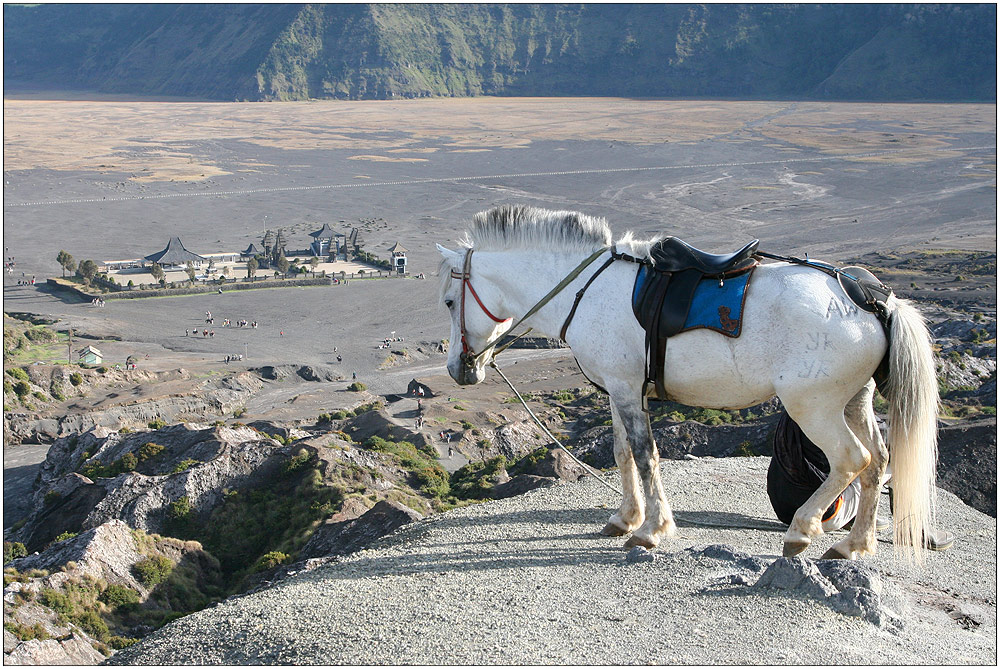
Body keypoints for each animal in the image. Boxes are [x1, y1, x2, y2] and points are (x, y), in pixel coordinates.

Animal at [436, 202, 936, 560]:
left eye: (448, 302)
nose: (459, 369)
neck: (588, 289)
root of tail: (869, 297)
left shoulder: (626, 391)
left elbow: (645, 456)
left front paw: (651, 530)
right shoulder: (619, 391)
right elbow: (621, 454)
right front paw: (625, 518)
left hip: (813, 406)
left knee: (851, 459)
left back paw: (801, 530)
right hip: (855, 401)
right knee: (879, 461)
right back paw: (854, 545)